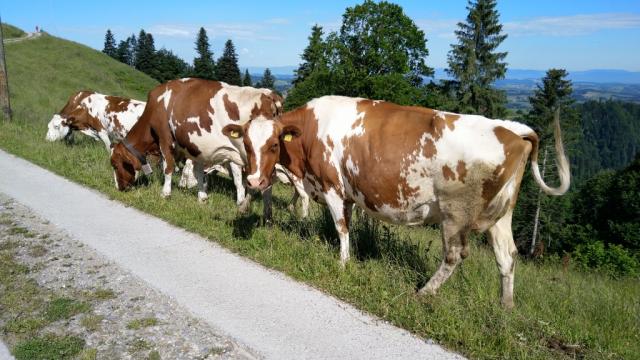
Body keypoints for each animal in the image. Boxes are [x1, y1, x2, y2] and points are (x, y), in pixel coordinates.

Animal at [221, 95, 568, 306]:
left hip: (455, 214)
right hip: (501, 214)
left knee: (455, 254)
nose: (254, 181)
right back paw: (505, 307)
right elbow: (348, 226)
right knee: (507, 255)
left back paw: (425, 292)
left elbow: (341, 227)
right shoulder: (348, 192)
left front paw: (343, 263)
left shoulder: (333, 186)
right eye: (247, 145)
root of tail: (510, 129)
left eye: (273, 145)